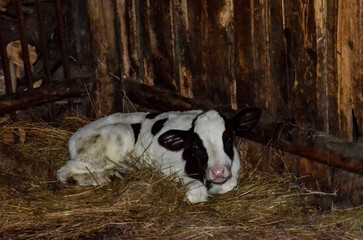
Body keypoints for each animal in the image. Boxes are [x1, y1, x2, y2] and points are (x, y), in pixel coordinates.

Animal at [57, 108, 262, 202]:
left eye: (228, 138)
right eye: (196, 145)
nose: (218, 172)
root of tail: (75, 135)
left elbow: (230, 184)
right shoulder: (166, 168)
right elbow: (198, 192)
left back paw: (114, 175)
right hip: (119, 135)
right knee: (64, 171)